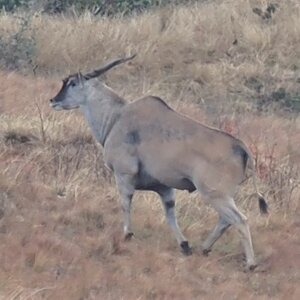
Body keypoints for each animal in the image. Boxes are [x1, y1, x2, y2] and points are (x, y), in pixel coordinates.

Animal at [50, 55, 268, 270]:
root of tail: (241, 147)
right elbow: (170, 215)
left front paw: (127, 234)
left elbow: (125, 204)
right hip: (223, 195)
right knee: (225, 220)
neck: (116, 117)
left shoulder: (124, 174)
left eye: (72, 83)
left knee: (239, 220)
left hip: (215, 194)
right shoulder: (165, 188)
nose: (53, 100)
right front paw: (185, 245)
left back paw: (250, 263)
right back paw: (204, 248)